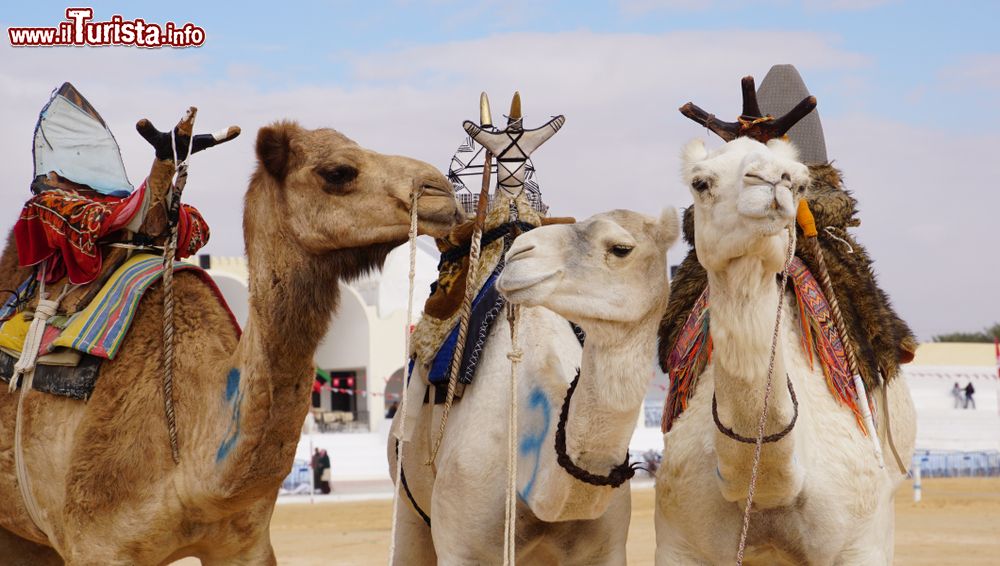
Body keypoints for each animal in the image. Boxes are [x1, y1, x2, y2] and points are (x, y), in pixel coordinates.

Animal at [652, 136, 916, 564]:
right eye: (700, 182)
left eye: (798, 182)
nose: (772, 180)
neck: (770, 488)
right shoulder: (679, 543)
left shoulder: (862, 542)